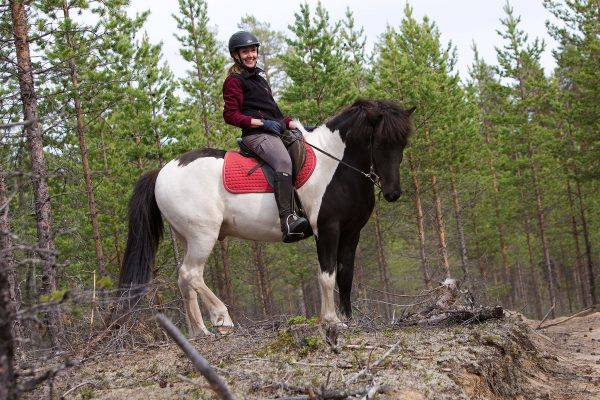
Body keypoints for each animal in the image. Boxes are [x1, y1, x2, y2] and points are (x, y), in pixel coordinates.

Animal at [119, 99, 414, 334]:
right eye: (380, 143)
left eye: (402, 144)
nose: (393, 193)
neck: (336, 166)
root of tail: (162, 171)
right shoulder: (327, 229)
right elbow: (327, 275)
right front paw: (331, 320)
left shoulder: (352, 232)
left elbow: (345, 275)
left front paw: (348, 319)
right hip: (203, 235)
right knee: (191, 274)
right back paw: (221, 318)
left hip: (188, 238)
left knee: (185, 281)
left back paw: (199, 331)